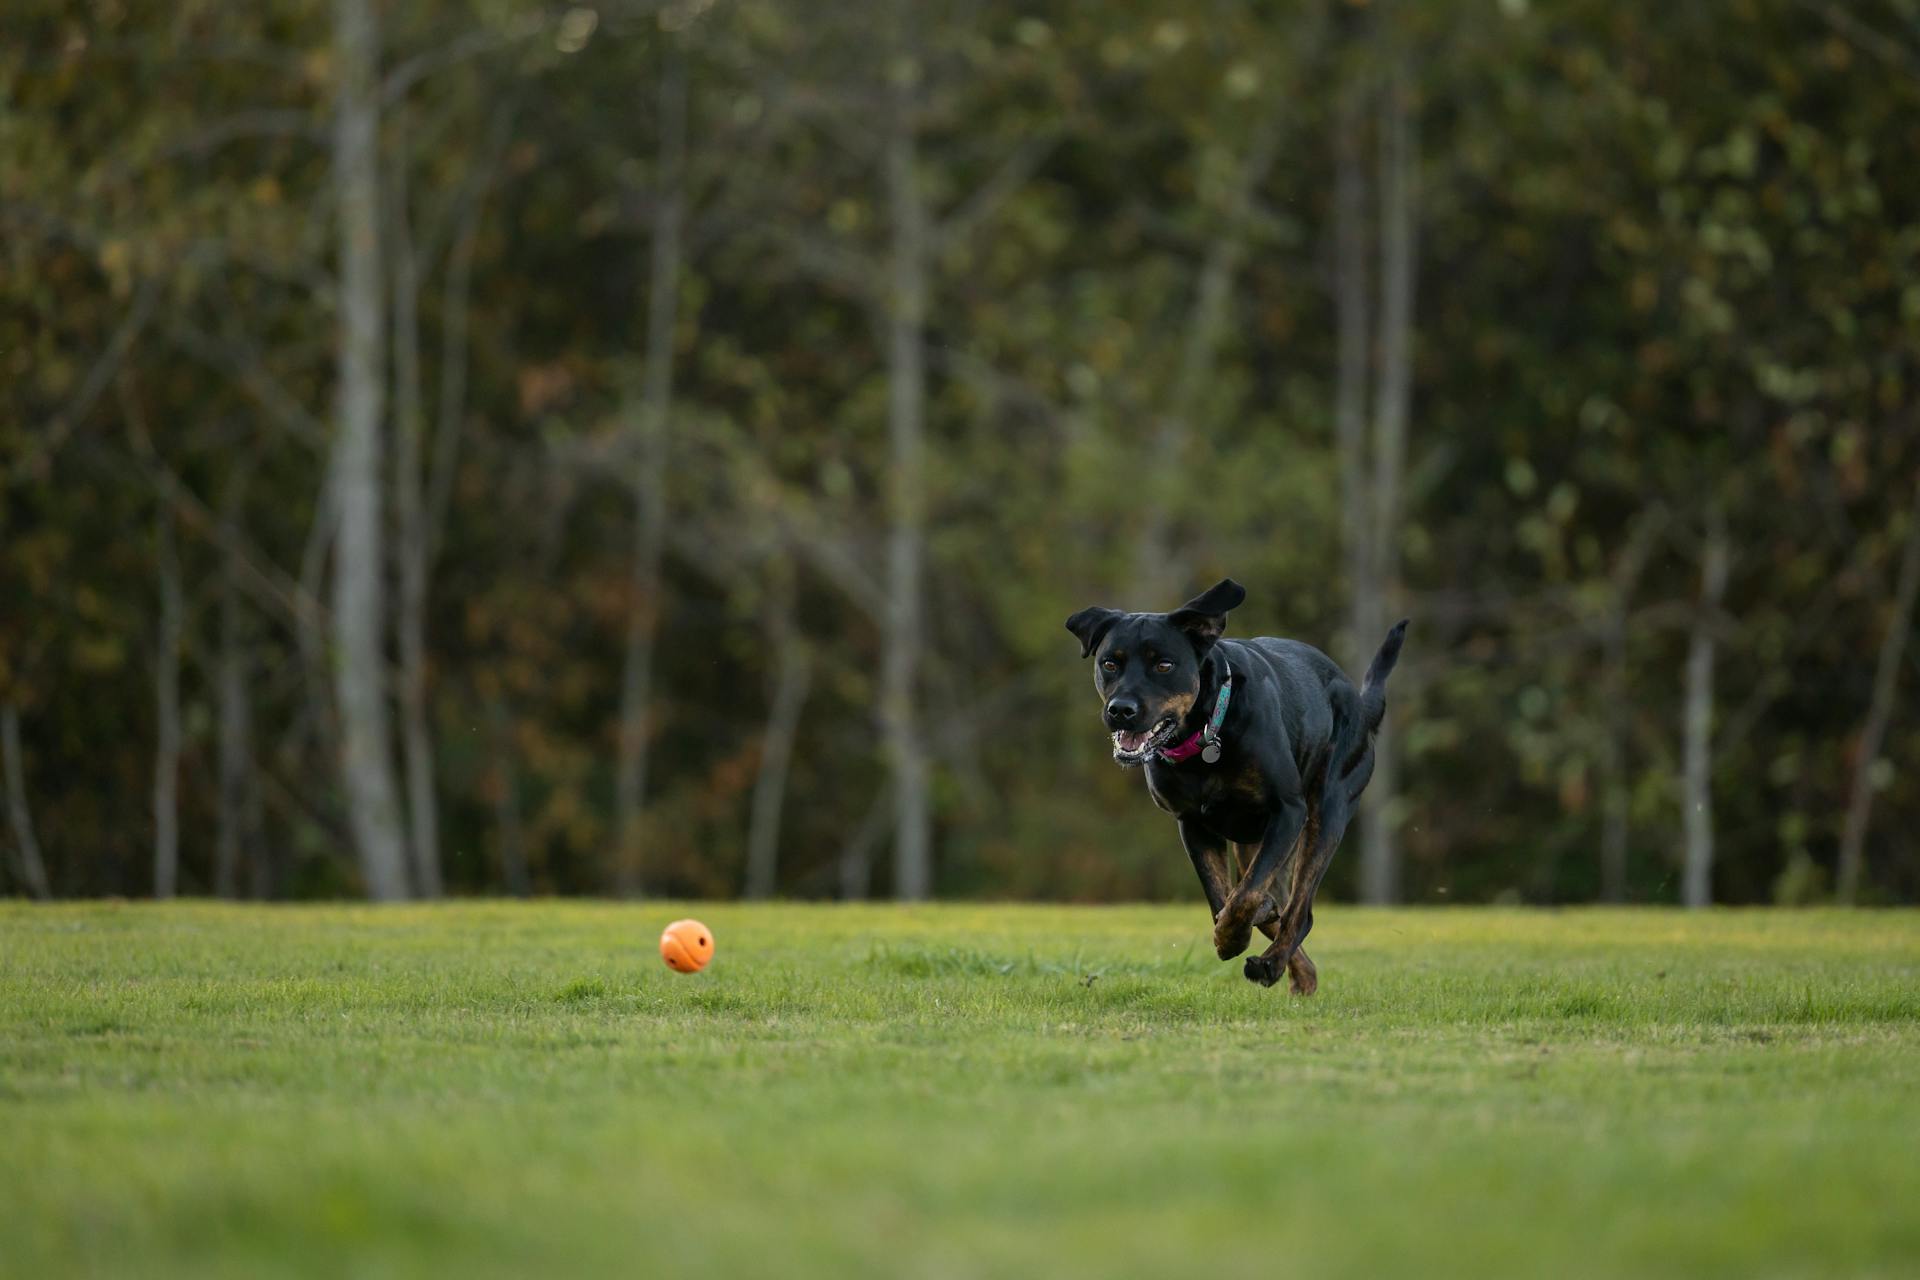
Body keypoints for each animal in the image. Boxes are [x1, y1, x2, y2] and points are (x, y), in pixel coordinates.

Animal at [1059, 579, 1405, 990]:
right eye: (1110, 663)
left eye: (1164, 664)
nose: (1121, 710)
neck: (1208, 733)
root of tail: (1359, 704)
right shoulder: (1192, 822)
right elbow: (1222, 894)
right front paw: (1233, 930)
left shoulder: (1288, 811)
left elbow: (1243, 896)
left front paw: (1231, 938)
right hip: (1252, 840)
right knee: (1277, 903)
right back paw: (1299, 974)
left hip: (1327, 811)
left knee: (1299, 910)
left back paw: (1270, 964)